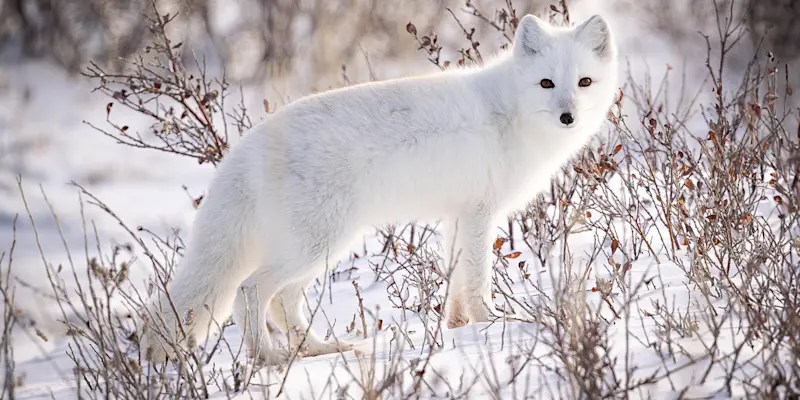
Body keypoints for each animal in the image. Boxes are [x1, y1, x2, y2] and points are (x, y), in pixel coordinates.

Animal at [138, 13, 619, 365]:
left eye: (584, 82)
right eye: (546, 83)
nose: (568, 117)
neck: (512, 114)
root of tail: (247, 147)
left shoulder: (458, 216)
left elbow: (456, 282)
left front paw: (458, 330)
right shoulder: (481, 213)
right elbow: (478, 281)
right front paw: (494, 323)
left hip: (322, 248)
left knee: (283, 302)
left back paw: (318, 349)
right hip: (316, 244)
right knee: (250, 293)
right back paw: (269, 359)